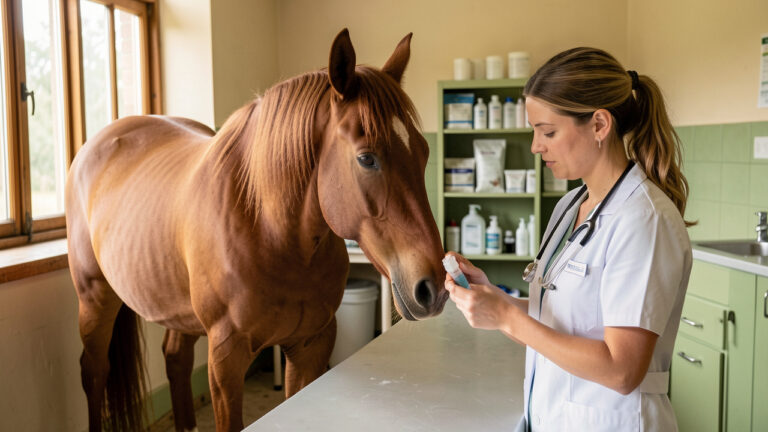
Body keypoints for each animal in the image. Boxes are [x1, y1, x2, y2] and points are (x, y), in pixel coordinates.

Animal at [65, 28, 447, 432]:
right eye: (366, 158)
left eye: (423, 151)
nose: (434, 287)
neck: (270, 231)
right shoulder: (226, 359)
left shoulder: (311, 346)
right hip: (95, 297)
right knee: (94, 370)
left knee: (175, 359)